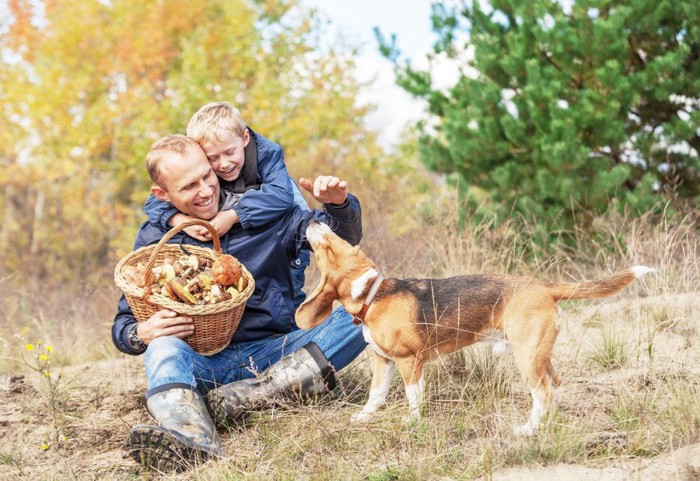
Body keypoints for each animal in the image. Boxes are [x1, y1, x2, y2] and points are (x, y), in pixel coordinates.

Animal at [296, 221, 656, 436]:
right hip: (539, 355)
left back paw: (527, 429)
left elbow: (413, 397)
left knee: (542, 393)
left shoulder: (409, 362)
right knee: (552, 388)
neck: (373, 293)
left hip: (527, 357)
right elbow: (376, 394)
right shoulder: (383, 361)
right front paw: (365, 417)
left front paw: (413, 422)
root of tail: (543, 286)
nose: (313, 220)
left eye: (331, 244)